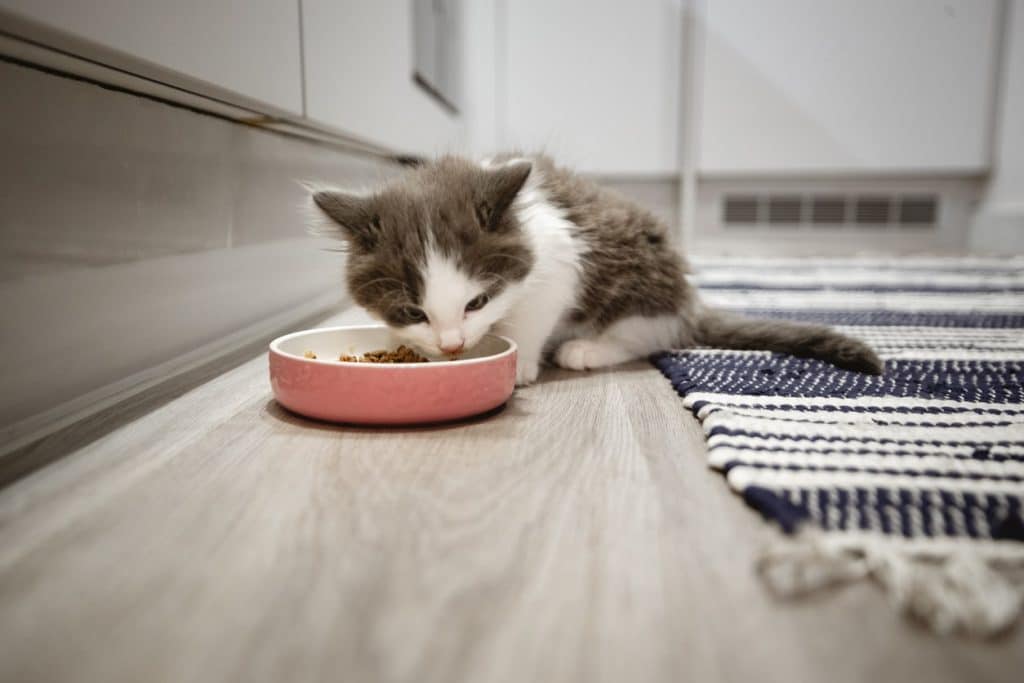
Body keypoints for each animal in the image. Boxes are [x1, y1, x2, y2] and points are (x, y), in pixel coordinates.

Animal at [307, 153, 884, 385]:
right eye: (413, 312)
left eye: (478, 302)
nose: (452, 346)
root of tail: (689, 299)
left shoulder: (559, 263)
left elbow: (533, 316)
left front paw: (520, 363)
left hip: (638, 278)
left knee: (650, 333)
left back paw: (587, 349)